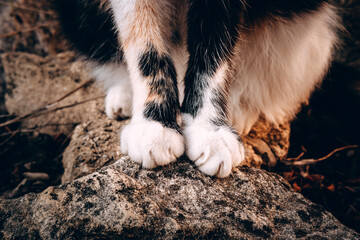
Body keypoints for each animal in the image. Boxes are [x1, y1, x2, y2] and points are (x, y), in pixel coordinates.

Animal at [54, 0, 340, 176]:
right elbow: (145, 45)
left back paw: (241, 111)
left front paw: (210, 131)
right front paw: (154, 125)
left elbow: (215, 51)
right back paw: (123, 98)